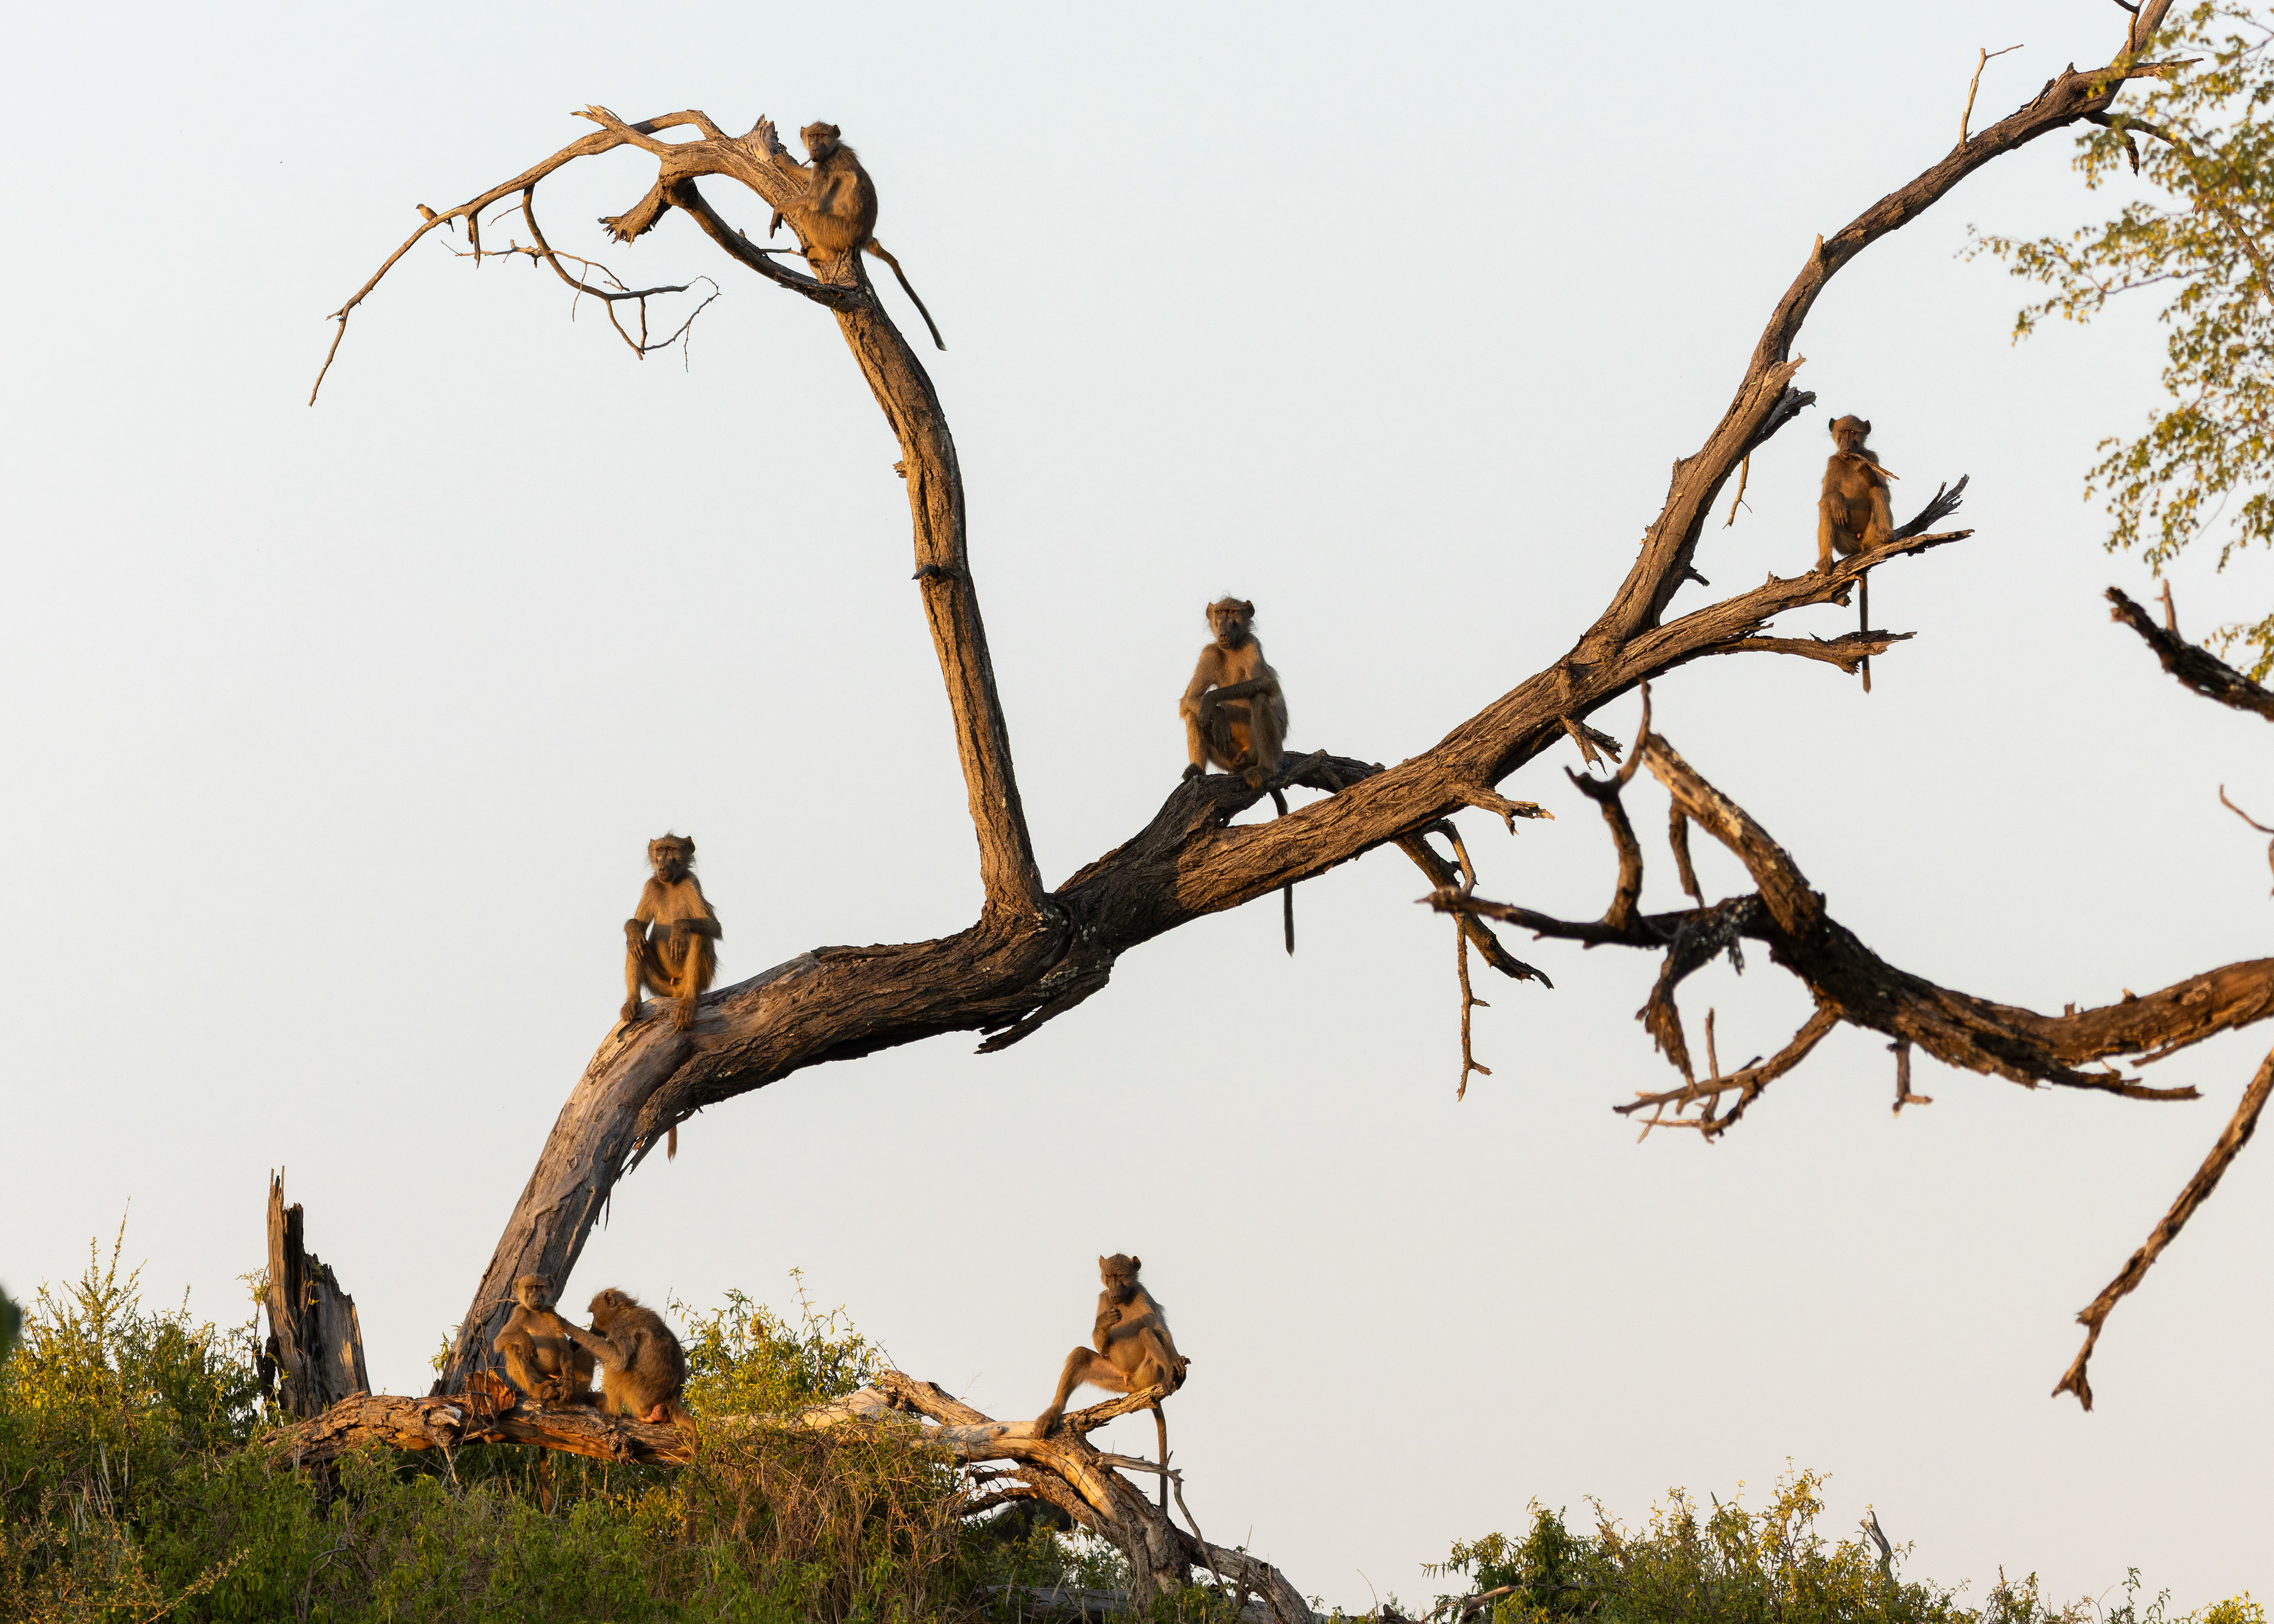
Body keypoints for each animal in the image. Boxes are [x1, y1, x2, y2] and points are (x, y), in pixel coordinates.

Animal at [493, 1274, 595, 1406]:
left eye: (540, 1287)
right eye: (530, 1288)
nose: (536, 1300)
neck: (536, 1313)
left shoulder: (554, 1317)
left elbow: (564, 1348)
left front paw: (569, 1386)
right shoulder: (519, 1313)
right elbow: (499, 1341)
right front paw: (526, 1340)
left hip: (558, 1375)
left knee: (587, 1352)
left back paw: (578, 1393)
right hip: (541, 1378)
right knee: (512, 1346)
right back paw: (538, 1390)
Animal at [557, 1287, 690, 1426]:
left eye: (594, 1314)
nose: (593, 1328)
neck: (625, 1310)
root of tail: (669, 1401)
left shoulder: (622, 1324)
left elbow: (618, 1359)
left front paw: (567, 1327)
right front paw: (573, 1342)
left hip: (636, 1394)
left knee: (613, 1366)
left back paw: (610, 1410)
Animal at [768, 122, 948, 352]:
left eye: (822, 136)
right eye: (812, 136)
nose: (815, 150)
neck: (833, 150)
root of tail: (866, 236)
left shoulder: (826, 166)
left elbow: (811, 199)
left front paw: (779, 210)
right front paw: (785, 162)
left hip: (838, 232)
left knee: (806, 213)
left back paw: (821, 254)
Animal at [1033, 1254, 1190, 1515]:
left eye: (1121, 1276)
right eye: (1109, 1276)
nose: (1115, 1293)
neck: (1124, 1299)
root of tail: (1133, 1385)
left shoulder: (1143, 1295)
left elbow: (1161, 1331)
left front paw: (1176, 1360)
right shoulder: (1103, 1299)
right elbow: (1101, 1348)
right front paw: (1104, 1323)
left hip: (1147, 1376)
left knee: (1147, 1332)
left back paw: (1169, 1373)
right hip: (1118, 1380)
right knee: (1081, 1354)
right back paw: (1052, 1414)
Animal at [1179, 596, 1298, 952]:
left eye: (1233, 615)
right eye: (1219, 614)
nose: (1223, 629)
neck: (1230, 649)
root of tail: (1243, 760)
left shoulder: (1251, 645)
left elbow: (1266, 686)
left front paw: (1215, 702)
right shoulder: (1210, 651)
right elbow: (1190, 701)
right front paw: (1214, 712)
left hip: (1265, 749)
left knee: (1259, 698)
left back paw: (1264, 770)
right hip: (1228, 758)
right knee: (1195, 714)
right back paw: (1196, 770)